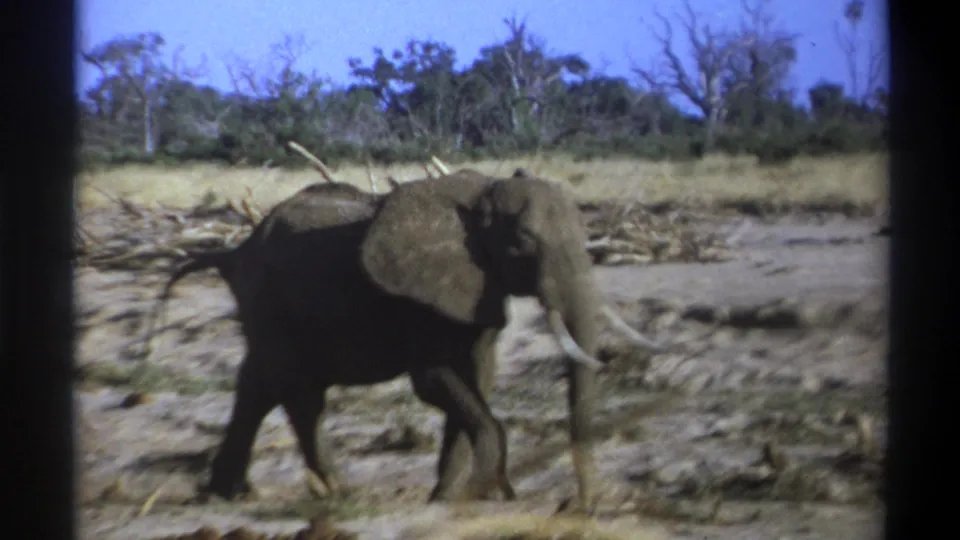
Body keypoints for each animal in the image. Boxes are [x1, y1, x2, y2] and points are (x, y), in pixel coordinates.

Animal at [150, 168, 665, 510]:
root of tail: (234, 251)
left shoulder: (476, 292)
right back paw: (338, 493)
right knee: (298, 394)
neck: (479, 195)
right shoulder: (417, 299)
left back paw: (229, 496)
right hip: (270, 301)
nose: (574, 507)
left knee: (258, 384)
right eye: (522, 244)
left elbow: (478, 379)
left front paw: (447, 499)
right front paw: (486, 492)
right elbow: (435, 381)